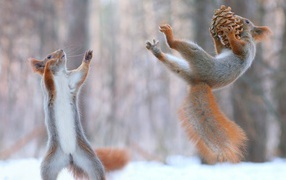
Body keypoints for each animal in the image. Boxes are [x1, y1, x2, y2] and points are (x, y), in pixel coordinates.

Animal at [29, 48, 128, 179]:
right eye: (49, 56)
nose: (61, 50)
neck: (59, 74)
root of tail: (69, 156)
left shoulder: (72, 80)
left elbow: (82, 72)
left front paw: (87, 57)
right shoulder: (48, 88)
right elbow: (47, 77)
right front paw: (48, 65)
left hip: (90, 160)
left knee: (96, 172)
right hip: (49, 166)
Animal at [146, 16, 272, 163]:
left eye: (247, 21)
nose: (239, 19)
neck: (245, 36)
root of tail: (200, 82)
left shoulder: (246, 48)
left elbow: (238, 48)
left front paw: (229, 34)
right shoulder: (226, 50)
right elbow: (220, 50)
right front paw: (216, 36)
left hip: (200, 60)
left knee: (177, 46)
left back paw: (169, 37)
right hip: (184, 70)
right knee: (172, 64)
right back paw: (157, 51)